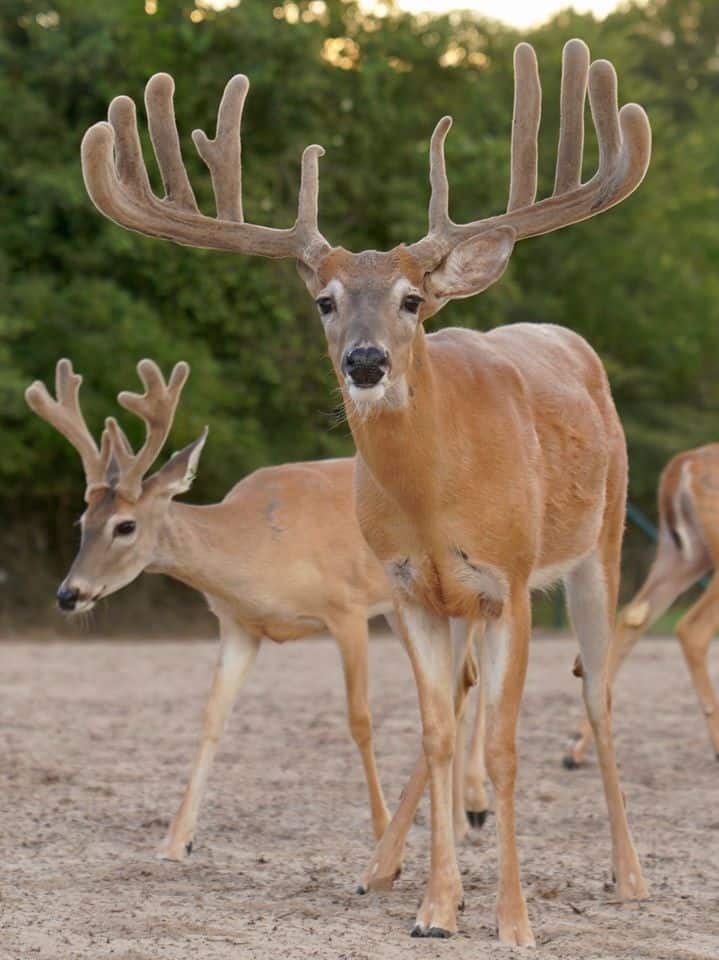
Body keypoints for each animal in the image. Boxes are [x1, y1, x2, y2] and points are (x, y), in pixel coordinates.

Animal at [80, 37, 651, 942]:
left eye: (413, 299)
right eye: (325, 300)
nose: (365, 361)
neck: (435, 498)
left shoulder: (507, 579)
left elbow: (503, 745)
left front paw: (514, 922)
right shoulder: (412, 588)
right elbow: (436, 731)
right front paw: (436, 908)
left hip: (598, 545)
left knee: (596, 693)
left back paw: (627, 875)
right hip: (463, 602)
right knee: (463, 703)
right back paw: (387, 867)